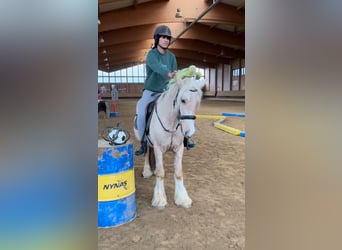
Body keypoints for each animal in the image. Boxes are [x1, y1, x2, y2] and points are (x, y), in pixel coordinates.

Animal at [134, 65, 206, 208]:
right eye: (183, 100)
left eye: (198, 102)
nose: (189, 132)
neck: (172, 122)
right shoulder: (158, 148)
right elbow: (161, 173)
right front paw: (159, 199)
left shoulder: (179, 148)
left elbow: (178, 173)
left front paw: (182, 198)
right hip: (146, 142)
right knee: (146, 152)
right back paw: (147, 171)